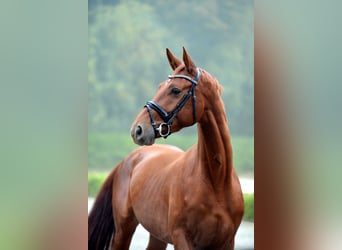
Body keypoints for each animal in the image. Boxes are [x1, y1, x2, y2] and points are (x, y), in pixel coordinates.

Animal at [88, 47, 243, 249]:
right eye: (160, 86)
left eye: (175, 90)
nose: (137, 129)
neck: (216, 180)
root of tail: (130, 159)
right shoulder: (181, 238)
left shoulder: (227, 241)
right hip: (124, 229)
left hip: (157, 235)